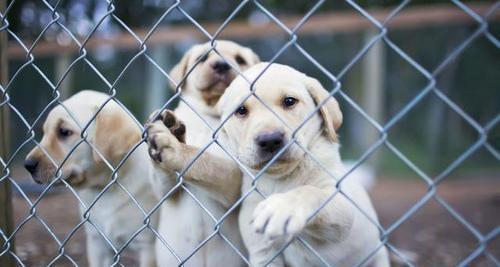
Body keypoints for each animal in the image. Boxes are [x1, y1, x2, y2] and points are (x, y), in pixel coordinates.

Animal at [24, 90, 158, 267]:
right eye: (45, 132)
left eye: (64, 132)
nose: (28, 165)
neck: (107, 187)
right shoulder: (97, 242)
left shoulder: (147, 246)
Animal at [145, 40, 260, 266]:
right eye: (202, 58)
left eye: (240, 59)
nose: (221, 65)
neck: (208, 117)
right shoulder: (165, 190)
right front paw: (171, 132)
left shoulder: (234, 179)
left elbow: (205, 161)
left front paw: (176, 148)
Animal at [215, 63, 390, 267]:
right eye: (241, 110)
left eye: (290, 101)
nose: (270, 140)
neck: (281, 179)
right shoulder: (263, 253)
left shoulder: (342, 207)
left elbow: (310, 191)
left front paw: (285, 206)